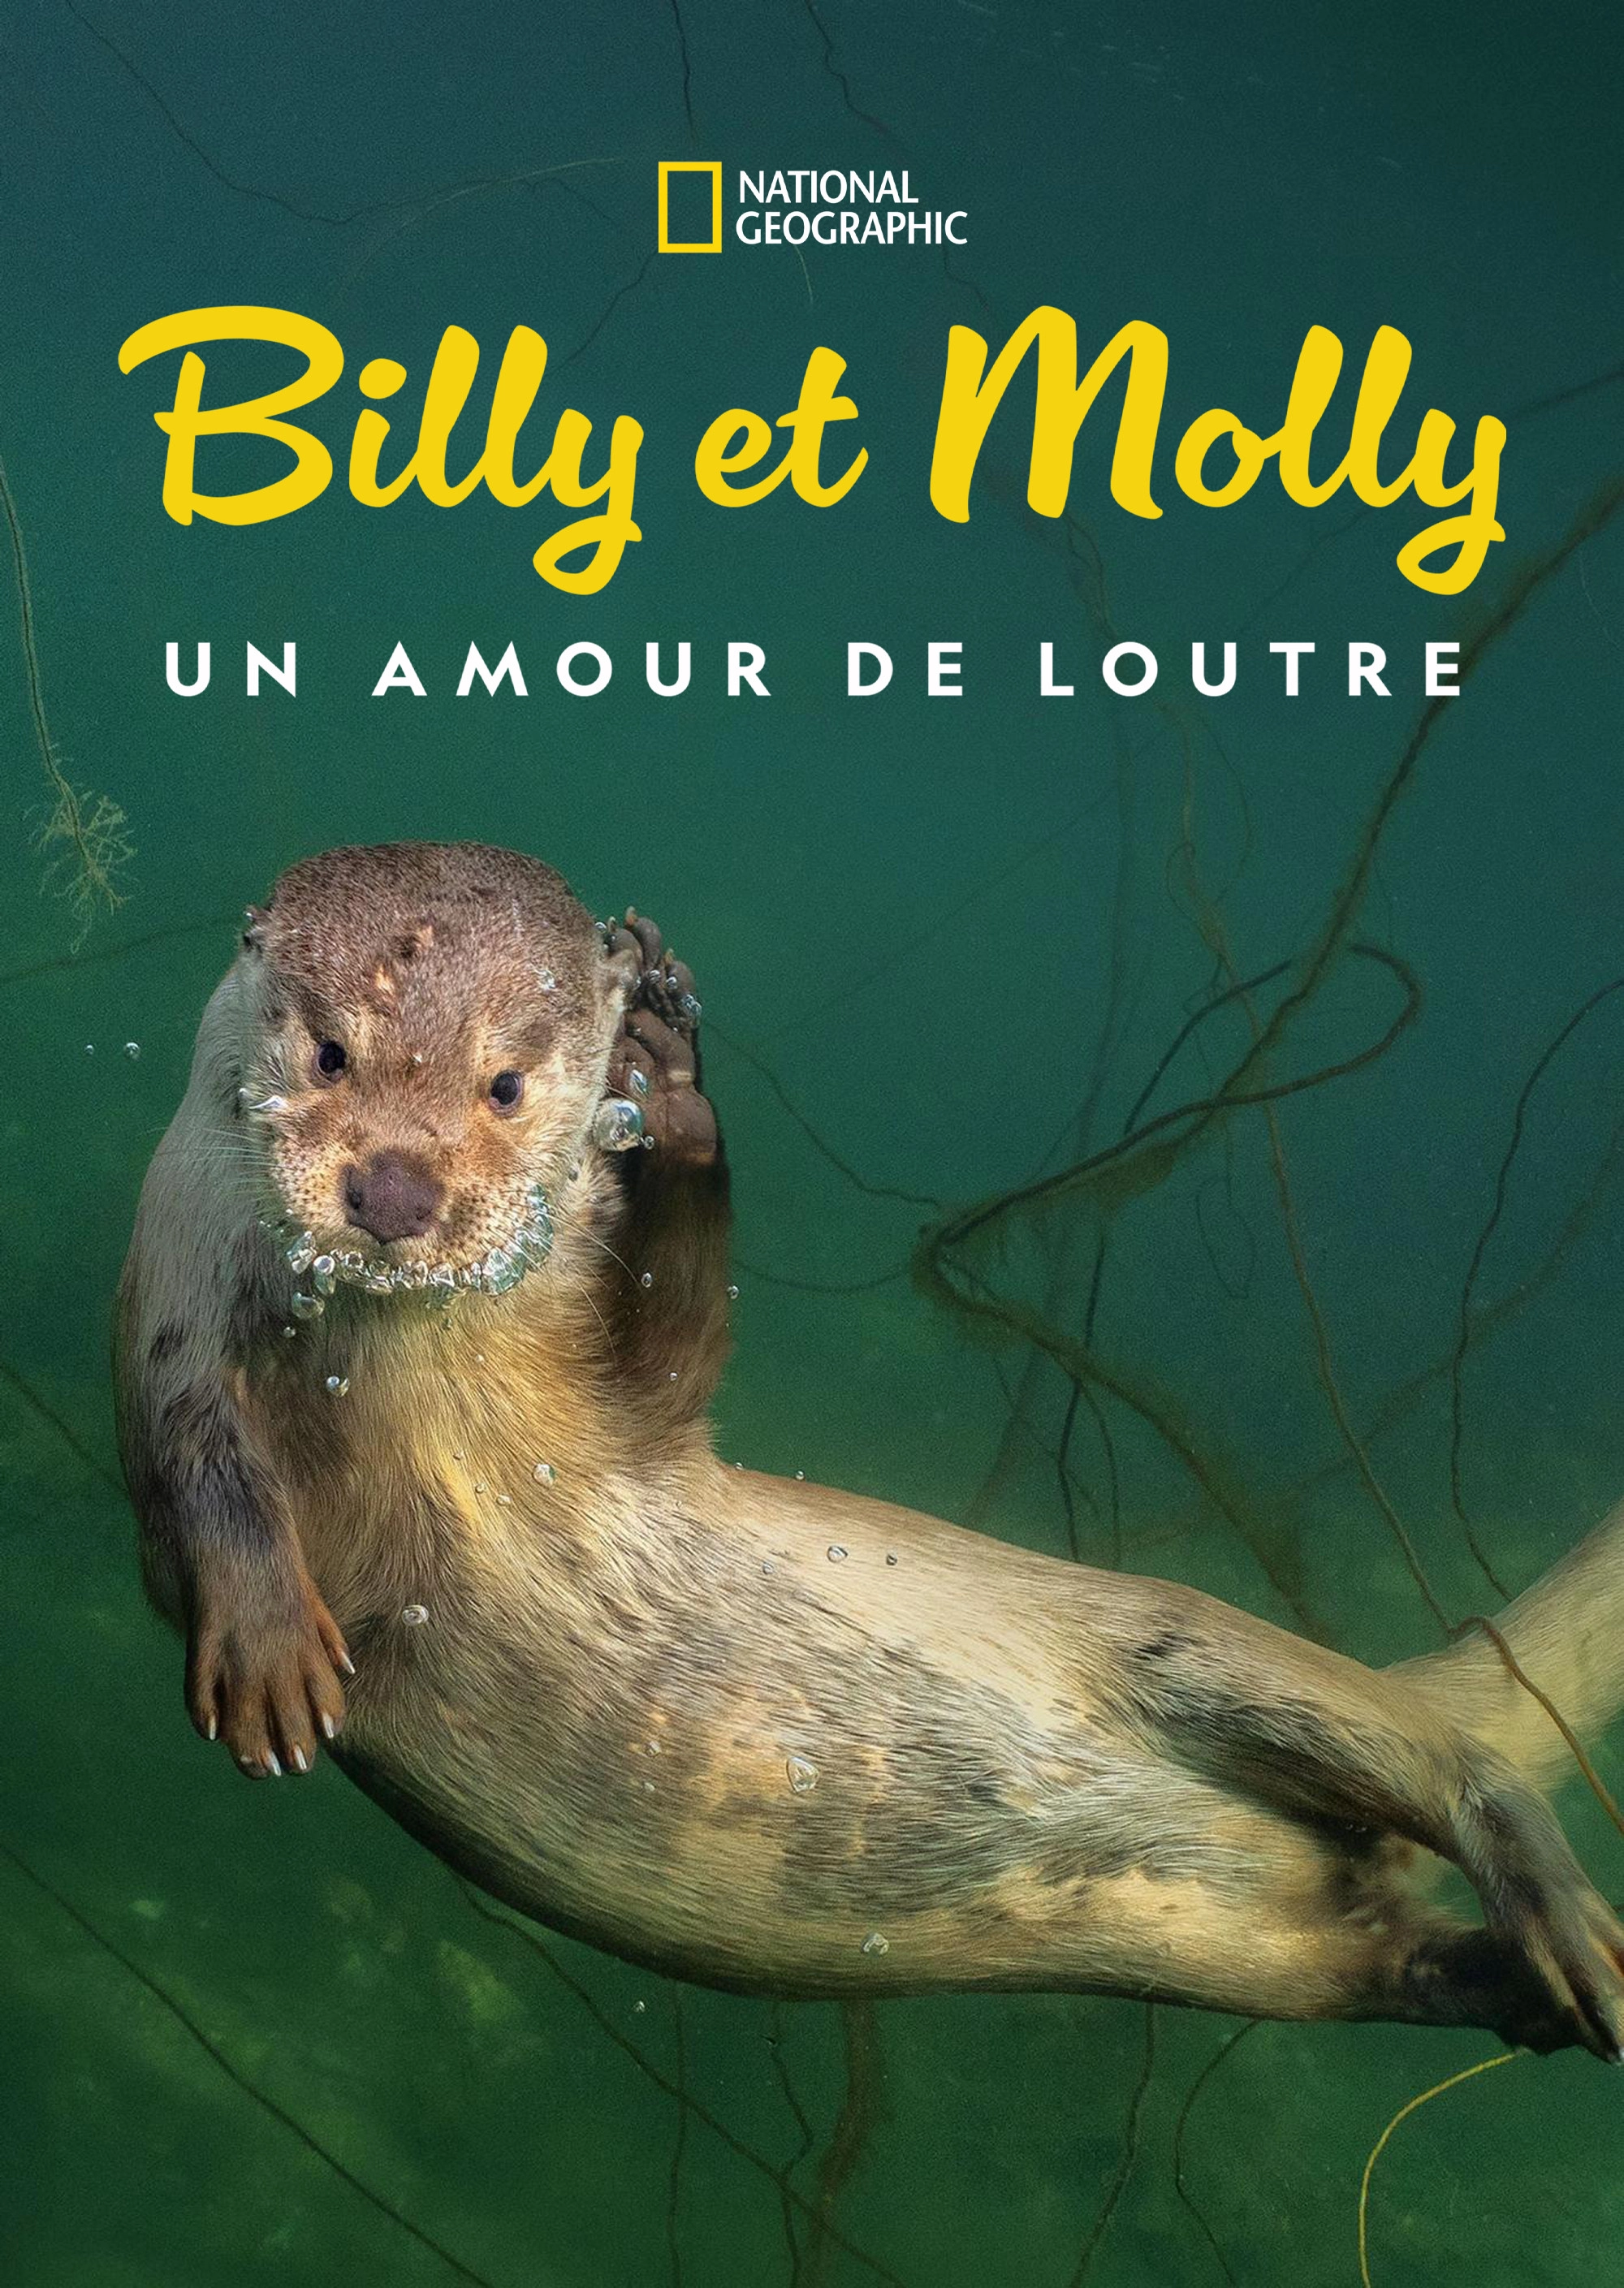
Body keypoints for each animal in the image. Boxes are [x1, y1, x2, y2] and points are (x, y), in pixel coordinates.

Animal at [115, 841, 1624, 2059]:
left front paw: (672, 1090)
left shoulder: (626, 1425)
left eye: (506, 1083)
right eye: (329, 1052)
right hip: (1255, 1953)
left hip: (1188, 1649)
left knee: (1447, 1760)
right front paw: (267, 1647)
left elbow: (677, 1357)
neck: (422, 1400)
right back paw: (1522, 1991)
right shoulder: (171, 1307)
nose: (394, 1185)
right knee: (1374, 1945)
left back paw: (1568, 1926)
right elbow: (196, 1466)